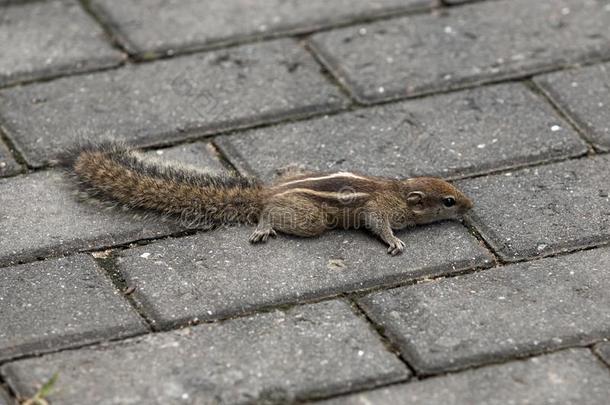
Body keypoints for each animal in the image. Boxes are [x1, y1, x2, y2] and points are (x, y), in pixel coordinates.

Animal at [65, 142, 470, 254]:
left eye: (453, 190)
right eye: (448, 201)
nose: (471, 205)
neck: (399, 192)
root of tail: (267, 192)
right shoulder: (378, 208)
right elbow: (377, 224)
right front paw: (394, 241)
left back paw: (288, 167)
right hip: (311, 219)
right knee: (273, 213)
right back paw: (263, 226)